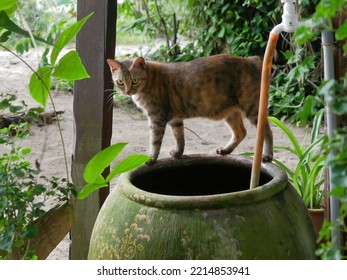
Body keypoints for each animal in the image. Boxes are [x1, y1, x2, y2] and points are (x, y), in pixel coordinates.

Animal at [107, 53, 274, 163]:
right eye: (120, 82)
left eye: (134, 80)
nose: (127, 91)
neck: (149, 80)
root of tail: (250, 59)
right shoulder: (175, 119)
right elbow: (179, 137)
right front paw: (178, 153)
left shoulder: (157, 118)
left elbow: (155, 141)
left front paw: (151, 158)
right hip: (230, 113)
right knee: (241, 132)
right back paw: (226, 150)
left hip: (252, 108)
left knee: (267, 131)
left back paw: (267, 155)